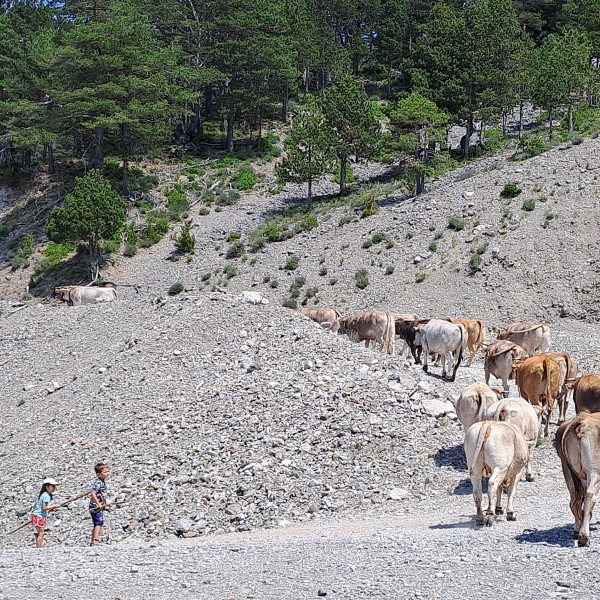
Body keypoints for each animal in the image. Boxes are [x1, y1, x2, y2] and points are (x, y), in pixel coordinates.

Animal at [556, 412, 600, 548]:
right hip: (594, 471)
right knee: (589, 495)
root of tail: (582, 420)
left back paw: (577, 531)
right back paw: (584, 536)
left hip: (569, 471)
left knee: (575, 500)